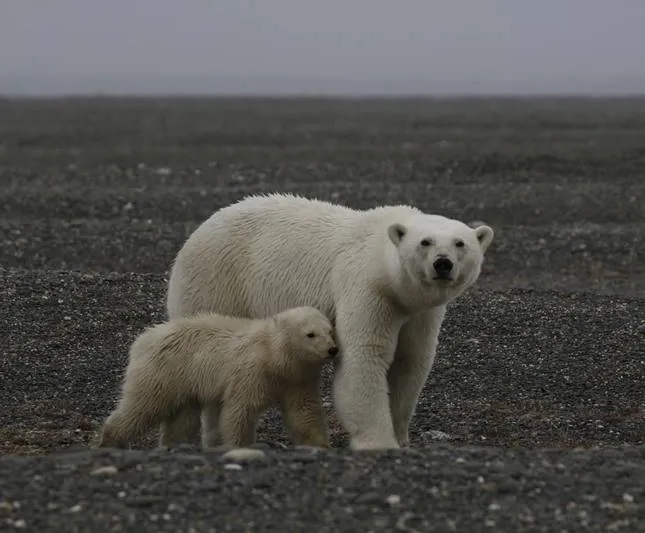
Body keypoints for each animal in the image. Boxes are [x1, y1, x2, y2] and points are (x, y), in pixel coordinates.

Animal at [97, 305, 339, 450]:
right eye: (310, 334)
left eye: (329, 330)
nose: (332, 349)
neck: (273, 356)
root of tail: (141, 340)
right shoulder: (250, 373)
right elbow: (240, 410)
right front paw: (239, 446)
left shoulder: (297, 380)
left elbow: (304, 411)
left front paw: (320, 446)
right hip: (164, 371)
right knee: (143, 405)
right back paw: (110, 439)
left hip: (184, 382)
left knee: (182, 417)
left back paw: (174, 445)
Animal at [164, 193, 494, 450]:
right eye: (425, 242)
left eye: (460, 243)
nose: (443, 264)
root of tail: (200, 228)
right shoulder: (365, 288)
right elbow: (365, 357)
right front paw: (378, 442)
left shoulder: (419, 313)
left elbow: (410, 362)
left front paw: (401, 438)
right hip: (216, 281)